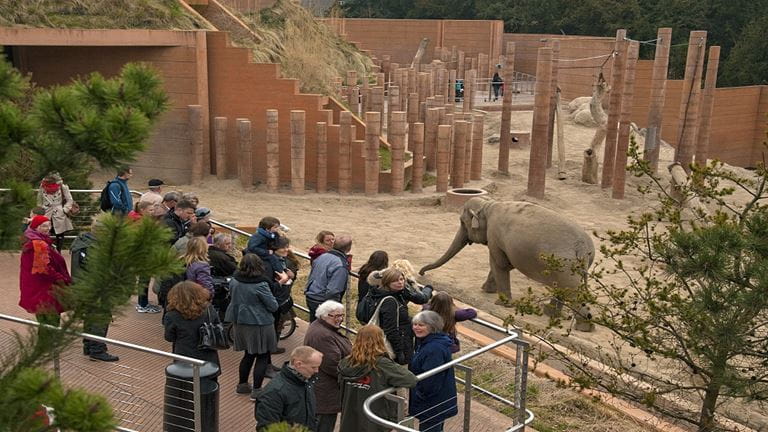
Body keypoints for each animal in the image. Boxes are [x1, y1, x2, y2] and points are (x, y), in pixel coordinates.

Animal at [420, 196, 592, 310]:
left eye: (462, 222)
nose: (421, 273)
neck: (489, 204)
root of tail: (584, 247)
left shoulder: (494, 235)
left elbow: (498, 263)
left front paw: (500, 302)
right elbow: (501, 263)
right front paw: (486, 290)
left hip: (566, 267)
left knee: (572, 291)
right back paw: (549, 313)